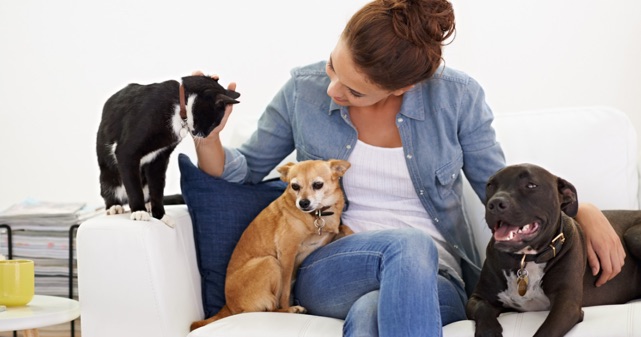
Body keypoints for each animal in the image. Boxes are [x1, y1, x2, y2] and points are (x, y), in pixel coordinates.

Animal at [97, 74, 240, 226]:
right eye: (213, 123)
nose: (204, 136)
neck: (180, 105)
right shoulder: (127, 151)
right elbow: (133, 185)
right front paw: (139, 211)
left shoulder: (160, 158)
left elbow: (157, 187)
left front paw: (160, 215)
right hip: (108, 175)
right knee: (110, 188)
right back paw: (115, 207)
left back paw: (148, 204)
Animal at [190, 159, 350, 330]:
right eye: (295, 186)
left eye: (318, 185)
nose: (303, 203)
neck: (318, 215)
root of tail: (229, 306)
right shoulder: (287, 253)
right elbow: (285, 291)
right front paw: (289, 306)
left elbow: (344, 228)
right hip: (270, 262)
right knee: (272, 308)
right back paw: (291, 309)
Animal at [464, 163, 640, 336]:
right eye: (490, 185)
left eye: (531, 185)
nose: (494, 204)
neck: (525, 258)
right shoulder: (477, 297)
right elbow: (482, 309)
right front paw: (489, 332)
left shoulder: (567, 305)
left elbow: (545, 332)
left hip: (632, 234)